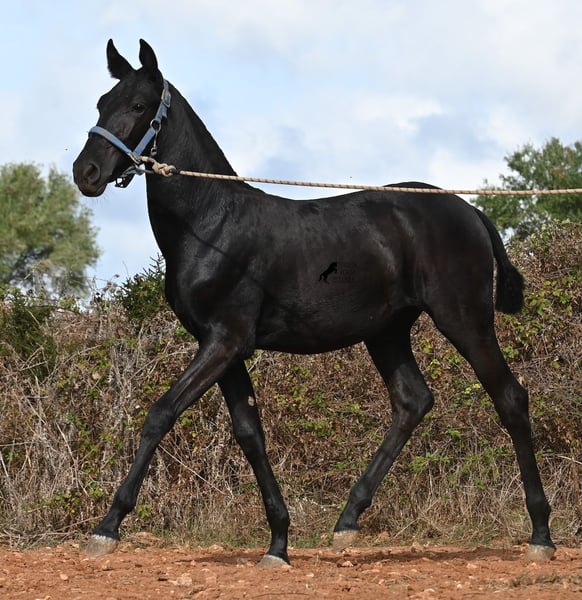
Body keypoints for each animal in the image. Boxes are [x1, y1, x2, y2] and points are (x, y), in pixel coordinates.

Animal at [73, 39, 555, 567]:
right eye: (101, 103)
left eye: (139, 105)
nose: (85, 173)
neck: (213, 224)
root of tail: (470, 210)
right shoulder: (224, 347)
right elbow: (250, 433)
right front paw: (278, 543)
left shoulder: (225, 341)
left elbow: (161, 414)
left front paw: (107, 528)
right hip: (386, 331)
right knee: (412, 401)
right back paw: (347, 522)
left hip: (463, 318)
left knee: (510, 397)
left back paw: (541, 534)